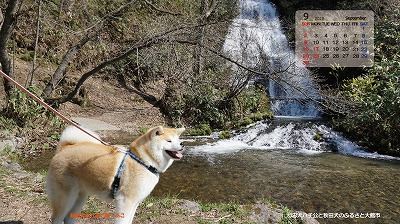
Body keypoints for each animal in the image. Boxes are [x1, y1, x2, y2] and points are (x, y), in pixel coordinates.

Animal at [47, 125, 186, 223]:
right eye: (169, 141)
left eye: (178, 139)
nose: (182, 143)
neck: (143, 161)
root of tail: (64, 148)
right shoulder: (125, 201)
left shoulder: (135, 202)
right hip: (66, 197)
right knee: (57, 218)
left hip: (80, 197)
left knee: (68, 218)